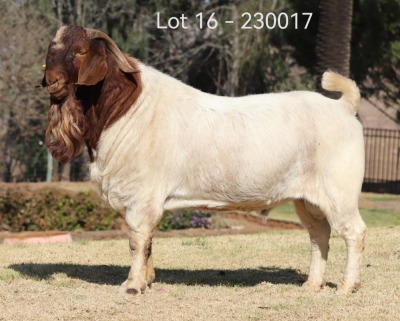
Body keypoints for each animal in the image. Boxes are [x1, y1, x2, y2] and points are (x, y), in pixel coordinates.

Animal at [40, 26, 366, 294]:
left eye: (81, 51)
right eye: (51, 51)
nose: (51, 81)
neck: (125, 109)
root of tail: (344, 107)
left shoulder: (141, 196)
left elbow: (137, 240)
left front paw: (132, 285)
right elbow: (148, 242)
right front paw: (147, 280)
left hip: (340, 192)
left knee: (354, 232)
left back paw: (346, 287)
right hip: (307, 199)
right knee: (319, 234)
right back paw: (312, 284)